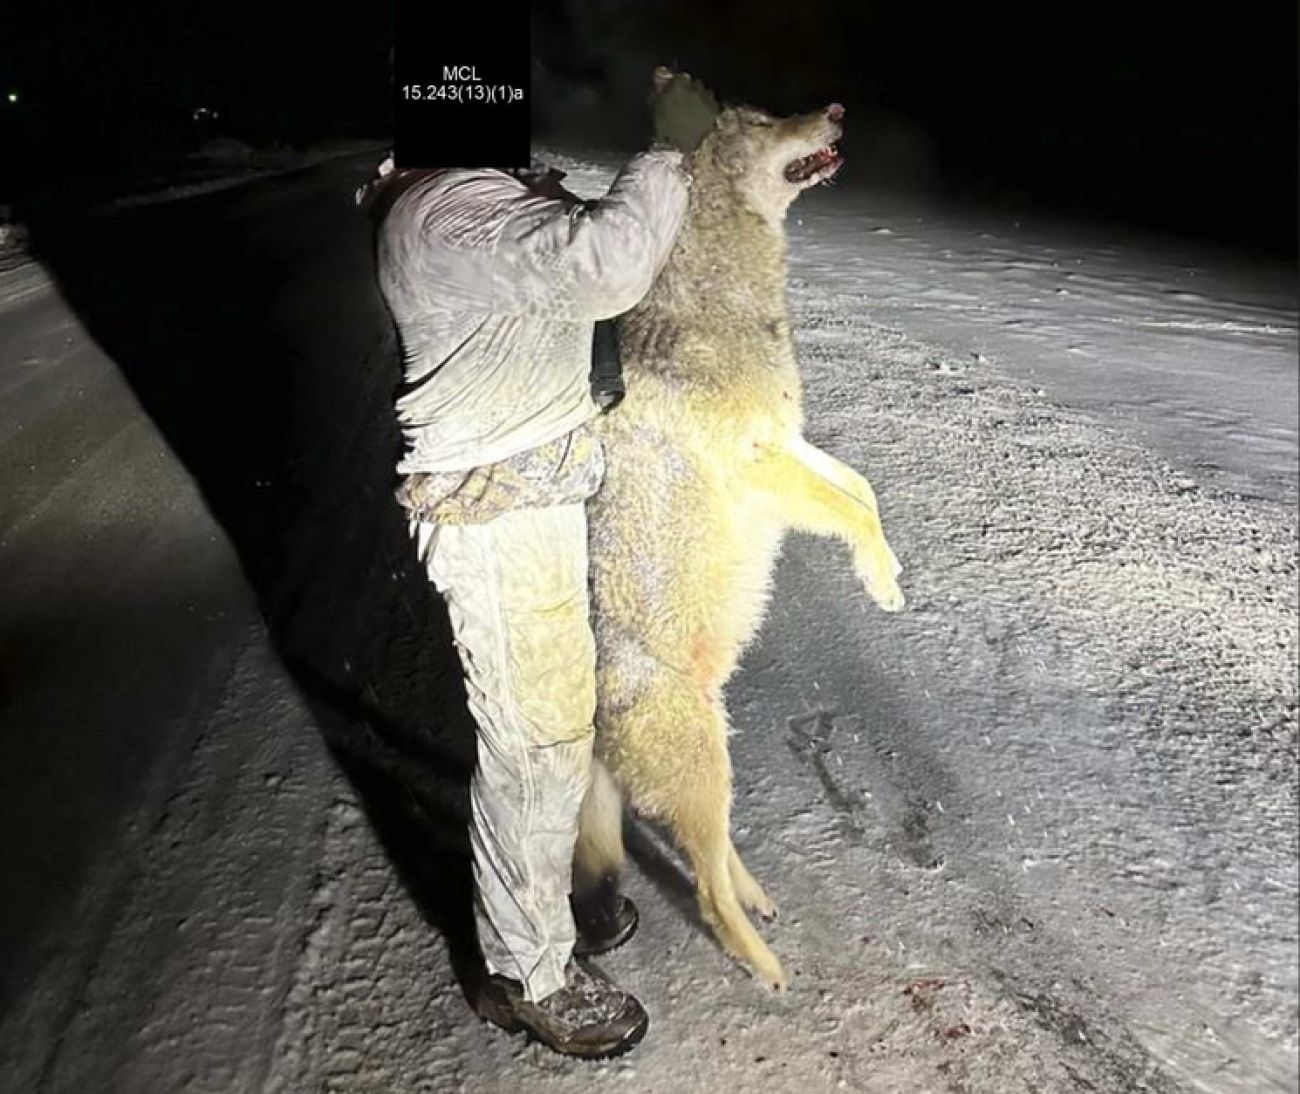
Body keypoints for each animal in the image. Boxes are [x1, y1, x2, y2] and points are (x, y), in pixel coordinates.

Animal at [579, 70, 904, 987]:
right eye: (762, 121)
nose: (836, 109)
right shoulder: (760, 463)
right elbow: (849, 506)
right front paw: (881, 579)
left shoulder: (792, 446)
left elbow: (862, 494)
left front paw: (886, 577)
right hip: (700, 761)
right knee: (705, 892)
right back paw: (764, 966)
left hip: (714, 755)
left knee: (714, 859)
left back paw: (758, 901)